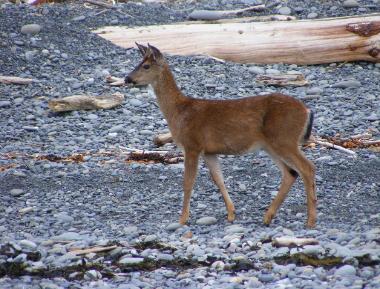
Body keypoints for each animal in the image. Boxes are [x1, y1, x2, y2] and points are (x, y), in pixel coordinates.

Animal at [124, 42, 318, 227]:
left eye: (146, 66)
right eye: (138, 63)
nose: (127, 78)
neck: (179, 111)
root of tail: (307, 110)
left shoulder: (192, 144)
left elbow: (188, 182)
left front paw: (182, 219)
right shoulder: (209, 152)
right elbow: (219, 179)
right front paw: (231, 214)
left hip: (284, 139)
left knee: (307, 168)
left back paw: (310, 221)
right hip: (270, 145)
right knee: (290, 173)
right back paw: (268, 217)